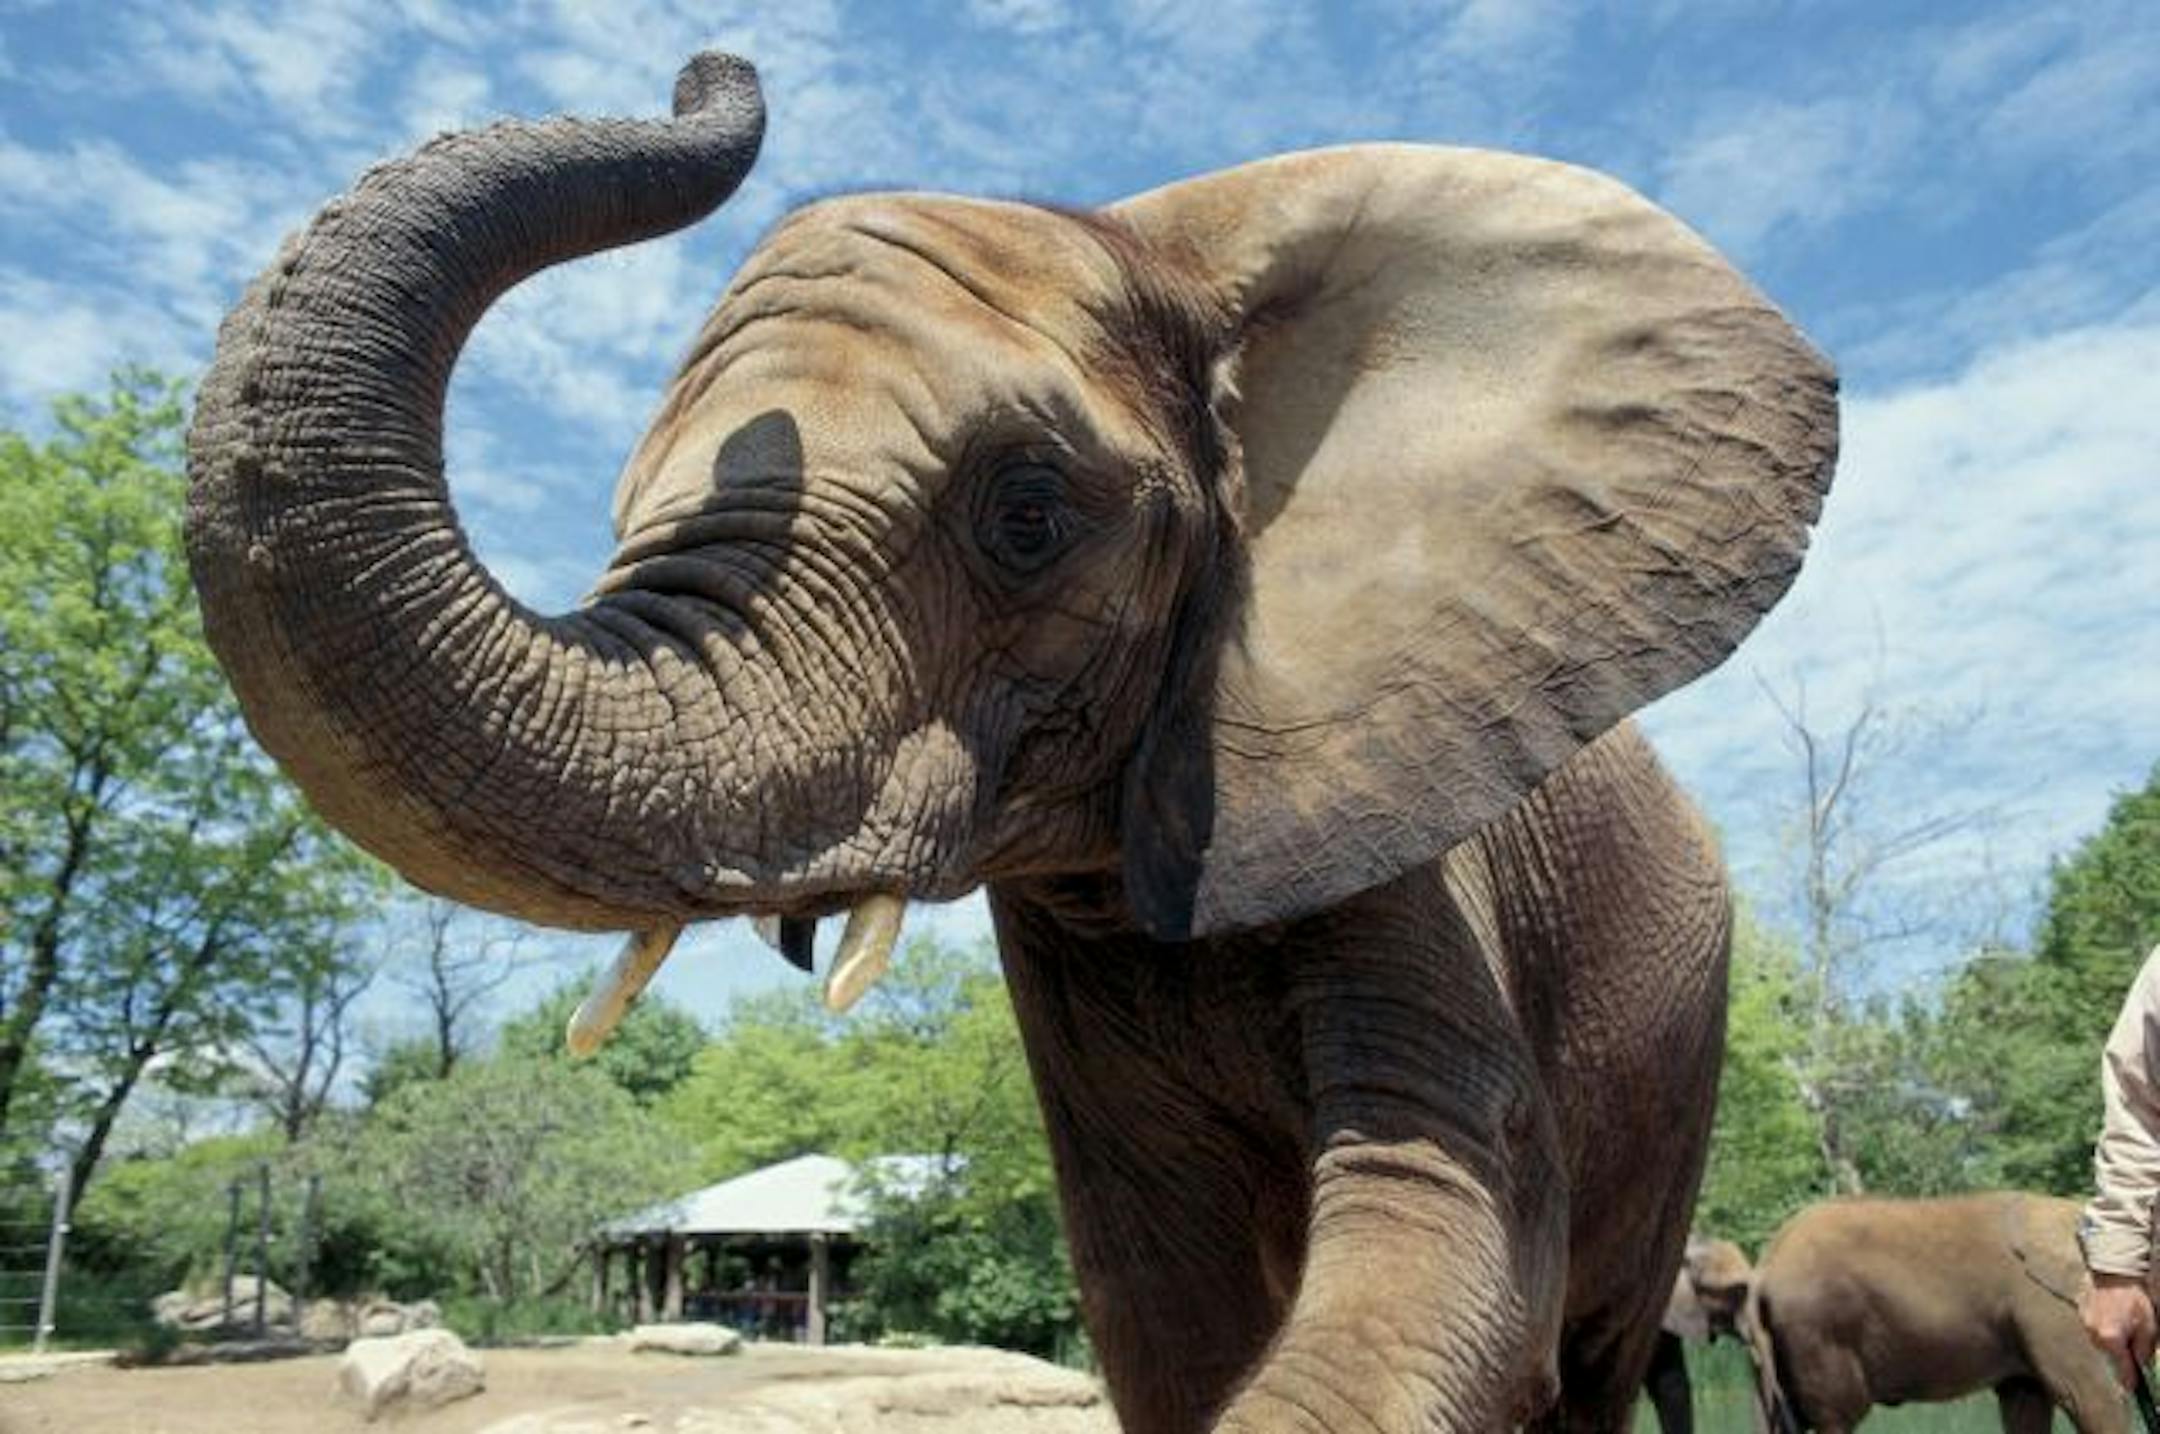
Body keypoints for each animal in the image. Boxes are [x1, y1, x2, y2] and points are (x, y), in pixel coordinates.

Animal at [1745, 1193, 2127, 1433]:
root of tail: (1766, 1266)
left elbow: (2025, 1403)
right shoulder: (2048, 1307)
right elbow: (2090, 1397)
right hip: (1820, 1329)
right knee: (1838, 1416)